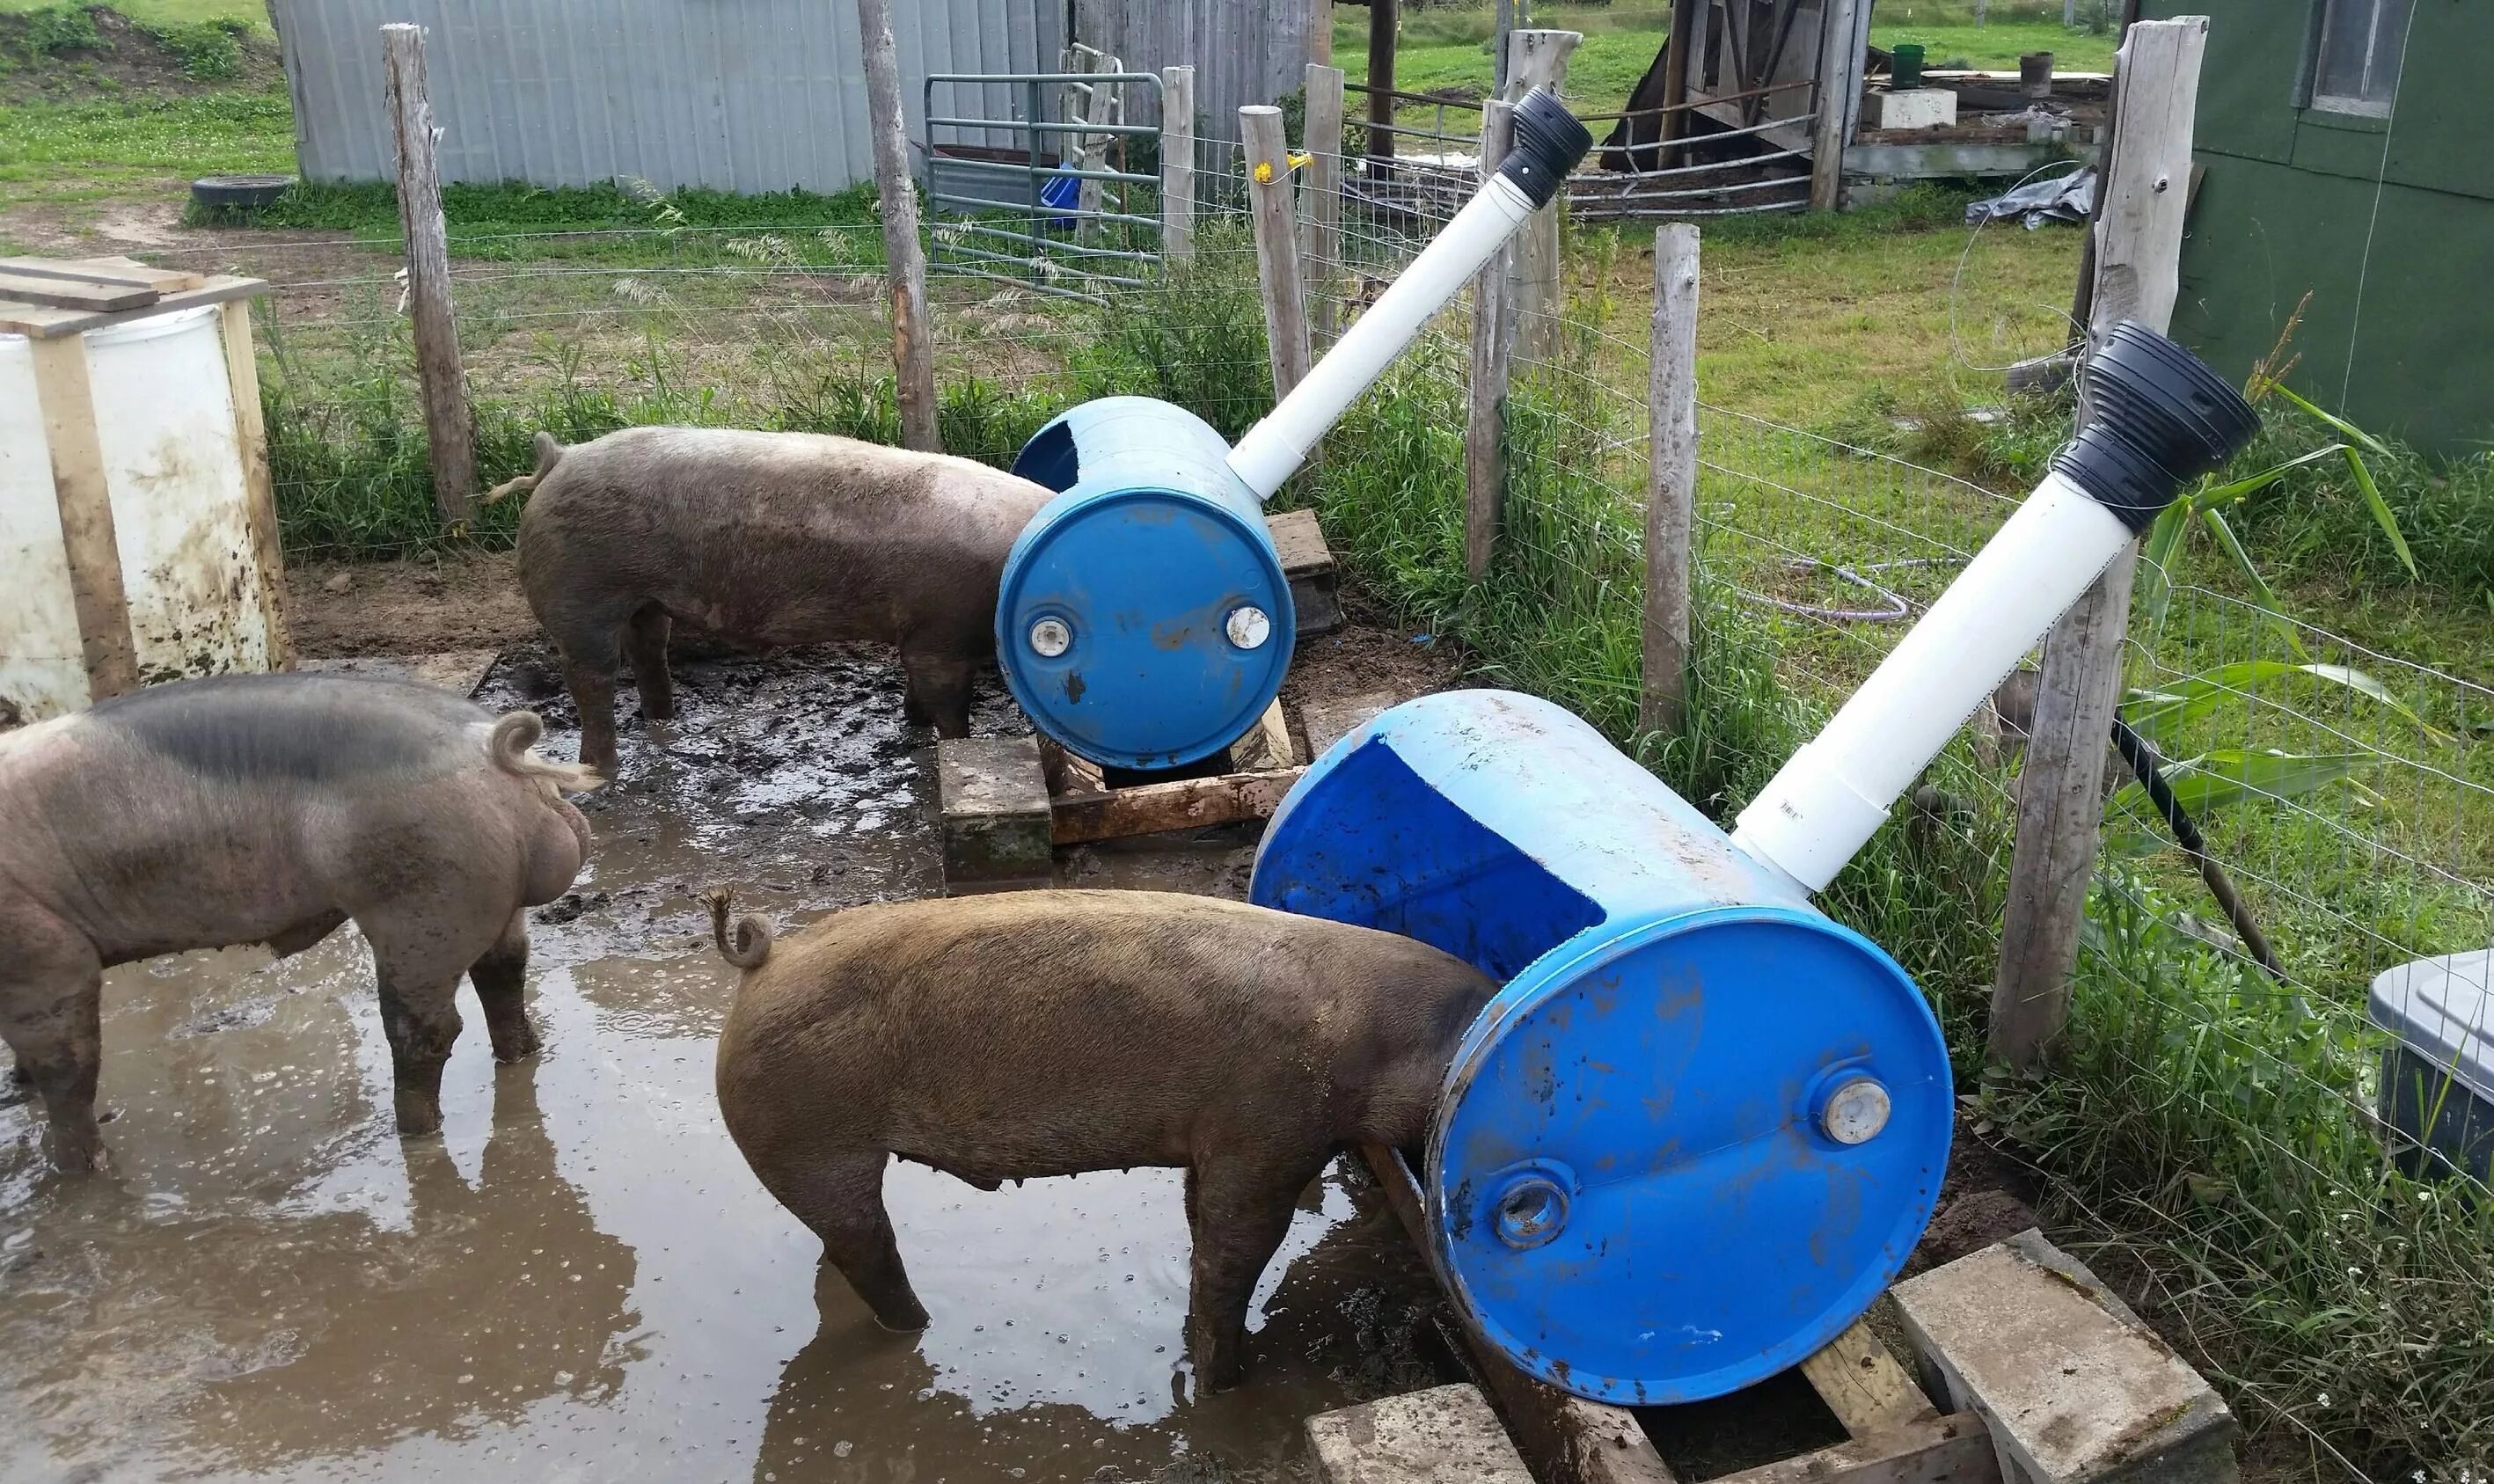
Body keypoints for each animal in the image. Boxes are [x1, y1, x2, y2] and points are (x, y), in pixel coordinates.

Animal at [0, 673, 601, 1172]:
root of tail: (493, 749)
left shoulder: (44, 952)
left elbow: (65, 1068)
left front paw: (75, 1171)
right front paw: (18, 1089)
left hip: (422, 902)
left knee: (427, 1030)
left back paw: (411, 1134)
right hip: (486, 900)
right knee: (503, 975)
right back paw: (517, 1056)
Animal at [488, 426, 1062, 778]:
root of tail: (559, 460)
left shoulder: (918, 632)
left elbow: (917, 688)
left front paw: (913, 724)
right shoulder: (942, 633)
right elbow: (951, 708)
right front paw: (956, 744)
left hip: (644, 601)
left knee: (649, 652)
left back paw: (666, 725)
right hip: (580, 595)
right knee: (593, 679)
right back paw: (599, 772)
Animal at [698, 888, 1496, 1386]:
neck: (1385, 1042)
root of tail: (764, 961)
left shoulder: (1213, 1140)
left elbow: (1198, 1220)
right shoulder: (1270, 1128)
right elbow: (1231, 1256)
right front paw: (1223, 1385)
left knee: (836, 1254)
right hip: (807, 1140)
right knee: (870, 1252)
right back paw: (922, 1327)